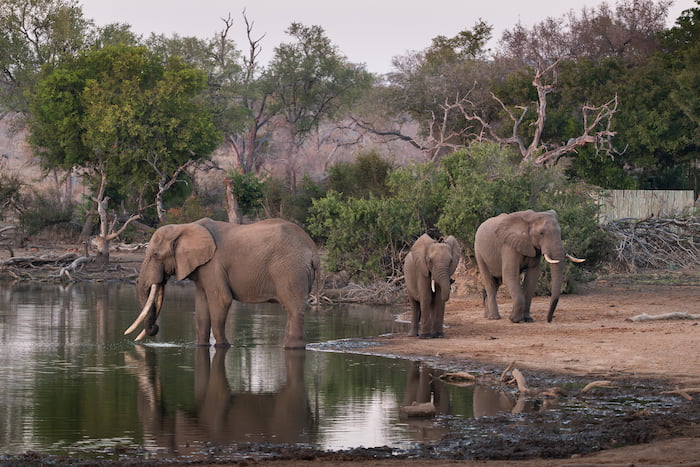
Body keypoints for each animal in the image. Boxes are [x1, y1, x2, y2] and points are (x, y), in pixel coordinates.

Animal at [124, 217, 320, 349]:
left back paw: (292, 347)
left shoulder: (213, 264)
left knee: (293, 308)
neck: (184, 227)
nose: (155, 328)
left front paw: (223, 346)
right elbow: (201, 307)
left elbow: (221, 300)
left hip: (290, 270)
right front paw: (202, 346)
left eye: (155, 255)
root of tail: (313, 249)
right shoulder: (202, 268)